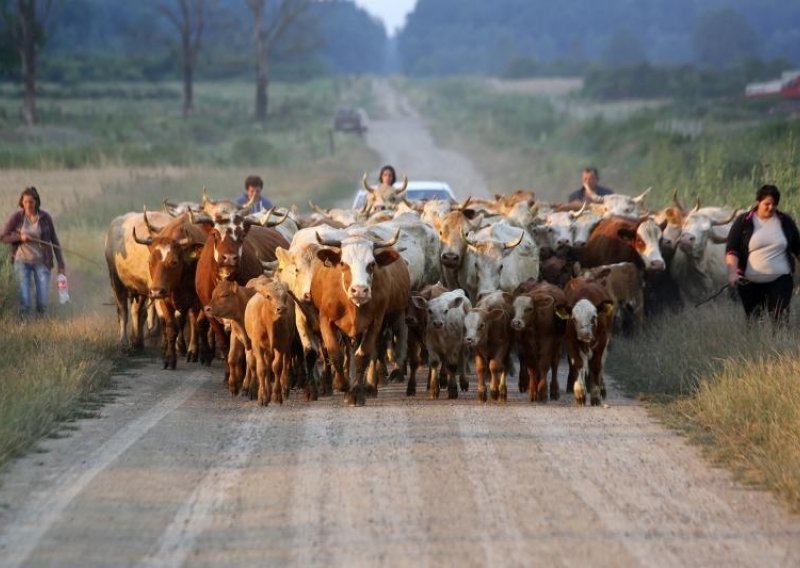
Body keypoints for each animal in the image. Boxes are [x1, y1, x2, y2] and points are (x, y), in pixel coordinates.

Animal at [564, 278, 612, 406]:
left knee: (601, 364)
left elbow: (596, 366)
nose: (585, 334)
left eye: (594, 317)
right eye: (574, 318)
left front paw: (595, 395)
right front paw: (580, 393)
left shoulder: (602, 341)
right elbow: (578, 363)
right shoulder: (571, 341)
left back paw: (601, 388)